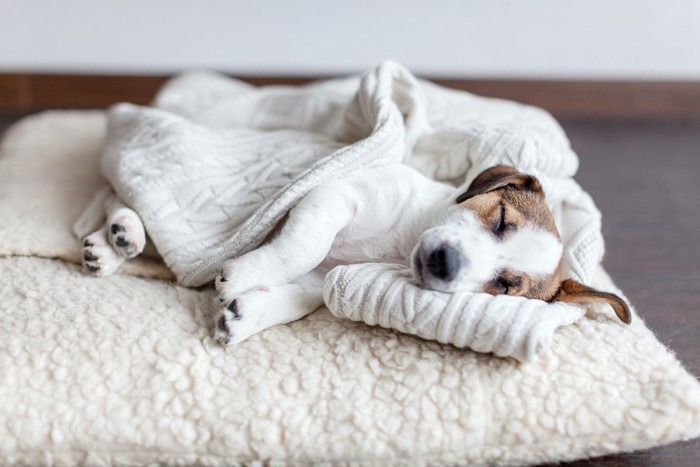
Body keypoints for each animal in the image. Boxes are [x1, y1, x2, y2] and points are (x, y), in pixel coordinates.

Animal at [79, 165, 632, 344]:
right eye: (499, 219)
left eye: (505, 286)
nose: (445, 264)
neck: (403, 239)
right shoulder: (332, 196)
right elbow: (301, 248)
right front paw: (245, 273)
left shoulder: (325, 272)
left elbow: (303, 294)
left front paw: (247, 312)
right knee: (113, 196)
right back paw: (122, 230)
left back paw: (113, 246)